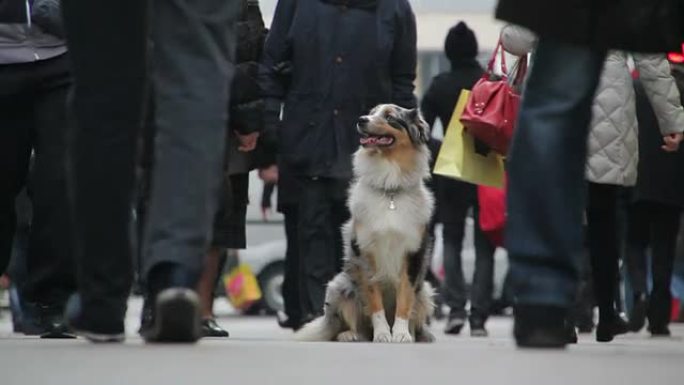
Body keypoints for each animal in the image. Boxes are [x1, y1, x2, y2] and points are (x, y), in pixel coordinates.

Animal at [296, 104, 436, 342]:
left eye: (390, 117)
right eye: (371, 112)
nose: (361, 120)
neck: (390, 192)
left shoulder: (413, 254)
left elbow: (405, 298)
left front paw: (401, 334)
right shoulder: (365, 253)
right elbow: (374, 301)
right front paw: (382, 334)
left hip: (425, 290)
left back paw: (413, 334)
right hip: (338, 286)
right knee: (351, 325)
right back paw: (350, 334)